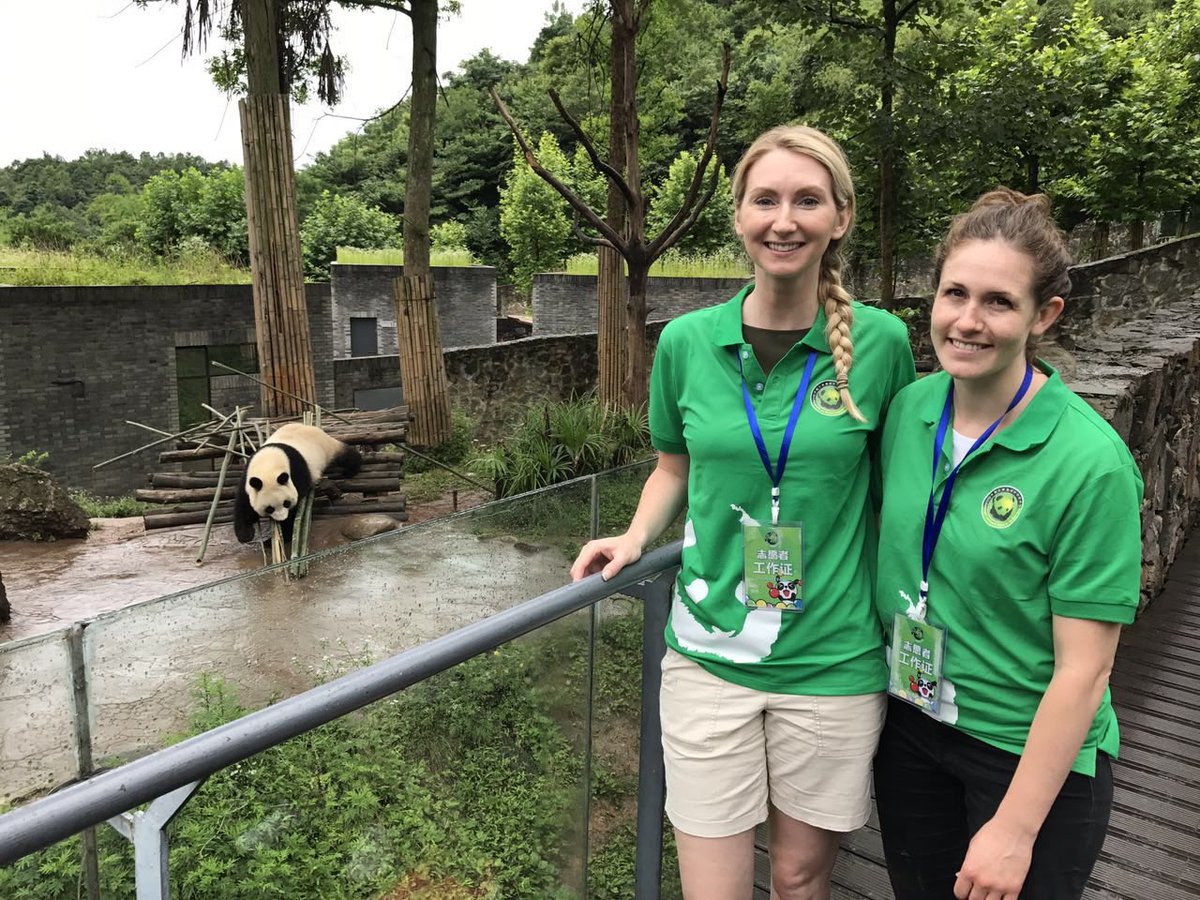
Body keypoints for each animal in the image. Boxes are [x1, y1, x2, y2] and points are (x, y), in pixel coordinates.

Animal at [232, 424, 360, 547]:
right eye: (269, 508)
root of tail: (309, 426)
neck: (268, 465)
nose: (282, 518)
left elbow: (295, 510)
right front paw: (245, 535)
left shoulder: (296, 474)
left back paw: (351, 470)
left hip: (326, 448)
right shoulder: (248, 479)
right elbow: (244, 506)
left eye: (286, 503)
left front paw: (276, 538)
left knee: (345, 455)